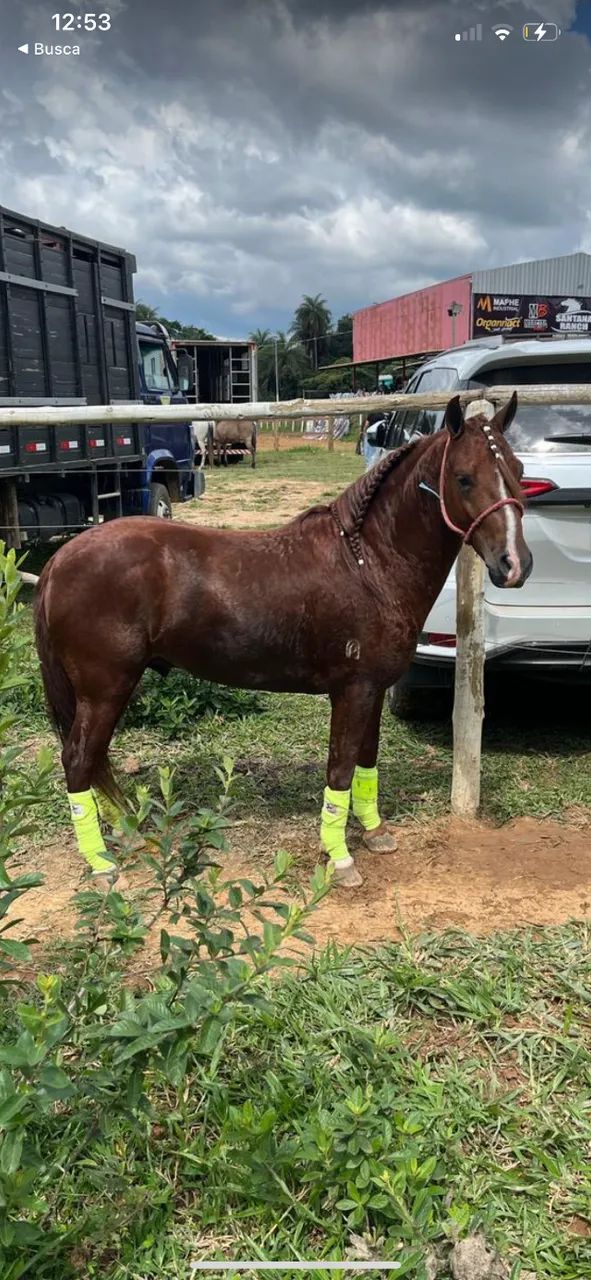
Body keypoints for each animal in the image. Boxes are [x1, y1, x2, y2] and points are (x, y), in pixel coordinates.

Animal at [34, 393, 532, 890]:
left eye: (518, 469)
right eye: (463, 478)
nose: (515, 564)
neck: (367, 563)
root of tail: (61, 559)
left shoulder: (371, 689)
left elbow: (366, 761)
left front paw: (374, 833)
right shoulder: (351, 691)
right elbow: (340, 769)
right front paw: (340, 857)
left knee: (95, 760)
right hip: (105, 688)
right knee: (78, 761)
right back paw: (101, 864)